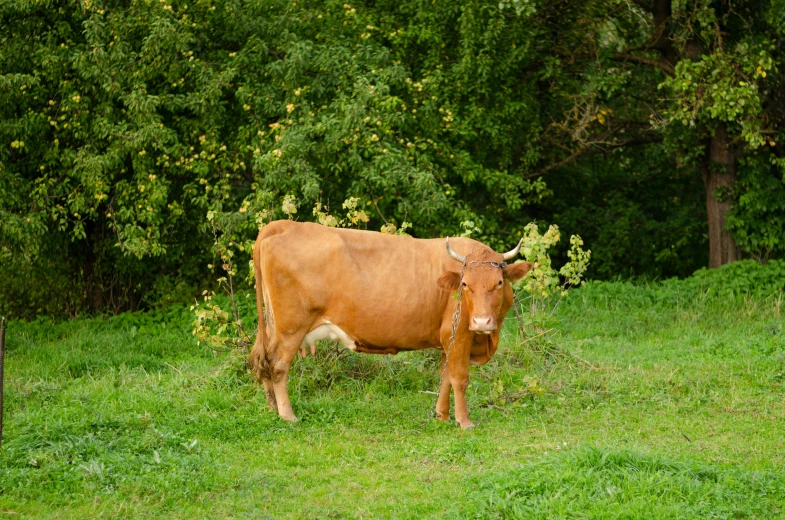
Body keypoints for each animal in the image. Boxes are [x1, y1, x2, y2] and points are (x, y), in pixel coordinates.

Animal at [250, 221, 532, 428]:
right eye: (465, 284)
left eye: (498, 282)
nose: (482, 321)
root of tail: (288, 225)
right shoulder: (461, 333)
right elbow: (459, 378)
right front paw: (464, 421)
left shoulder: (447, 338)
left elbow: (445, 377)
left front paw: (441, 415)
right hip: (291, 328)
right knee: (278, 366)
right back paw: (288, 415)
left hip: (274, 328)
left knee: (264, 361)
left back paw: (272, 407)